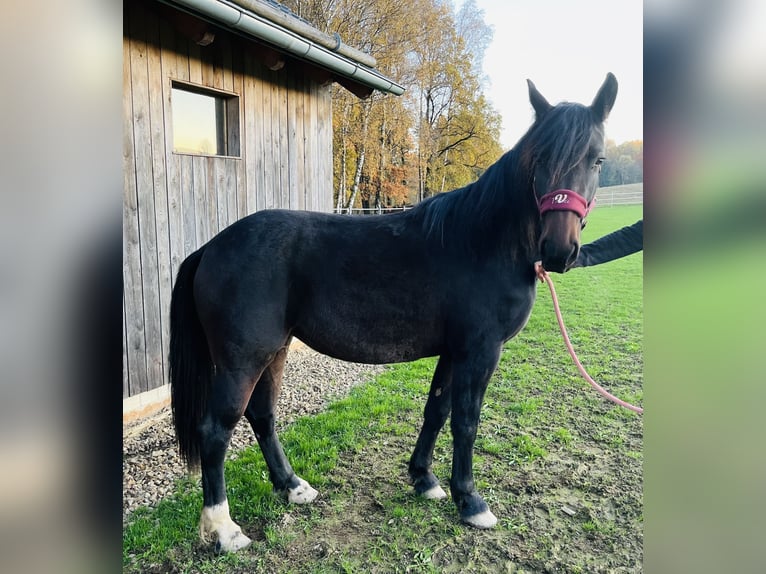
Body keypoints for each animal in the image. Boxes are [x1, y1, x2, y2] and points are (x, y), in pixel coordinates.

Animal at [168, 73, 616, 552]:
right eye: (542, 158)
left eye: (597, 160)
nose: (559, 250)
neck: (483, 241)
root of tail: (211, 247)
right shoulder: (480, 351)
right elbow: (466, 422)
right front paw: (470, 501)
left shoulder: (455, 351)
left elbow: (437, 411)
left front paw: (425, 479)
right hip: (243, 360)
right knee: (216, 430)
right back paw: (223, 528)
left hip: (275, 350)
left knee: (262, 416)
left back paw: (292, 486)